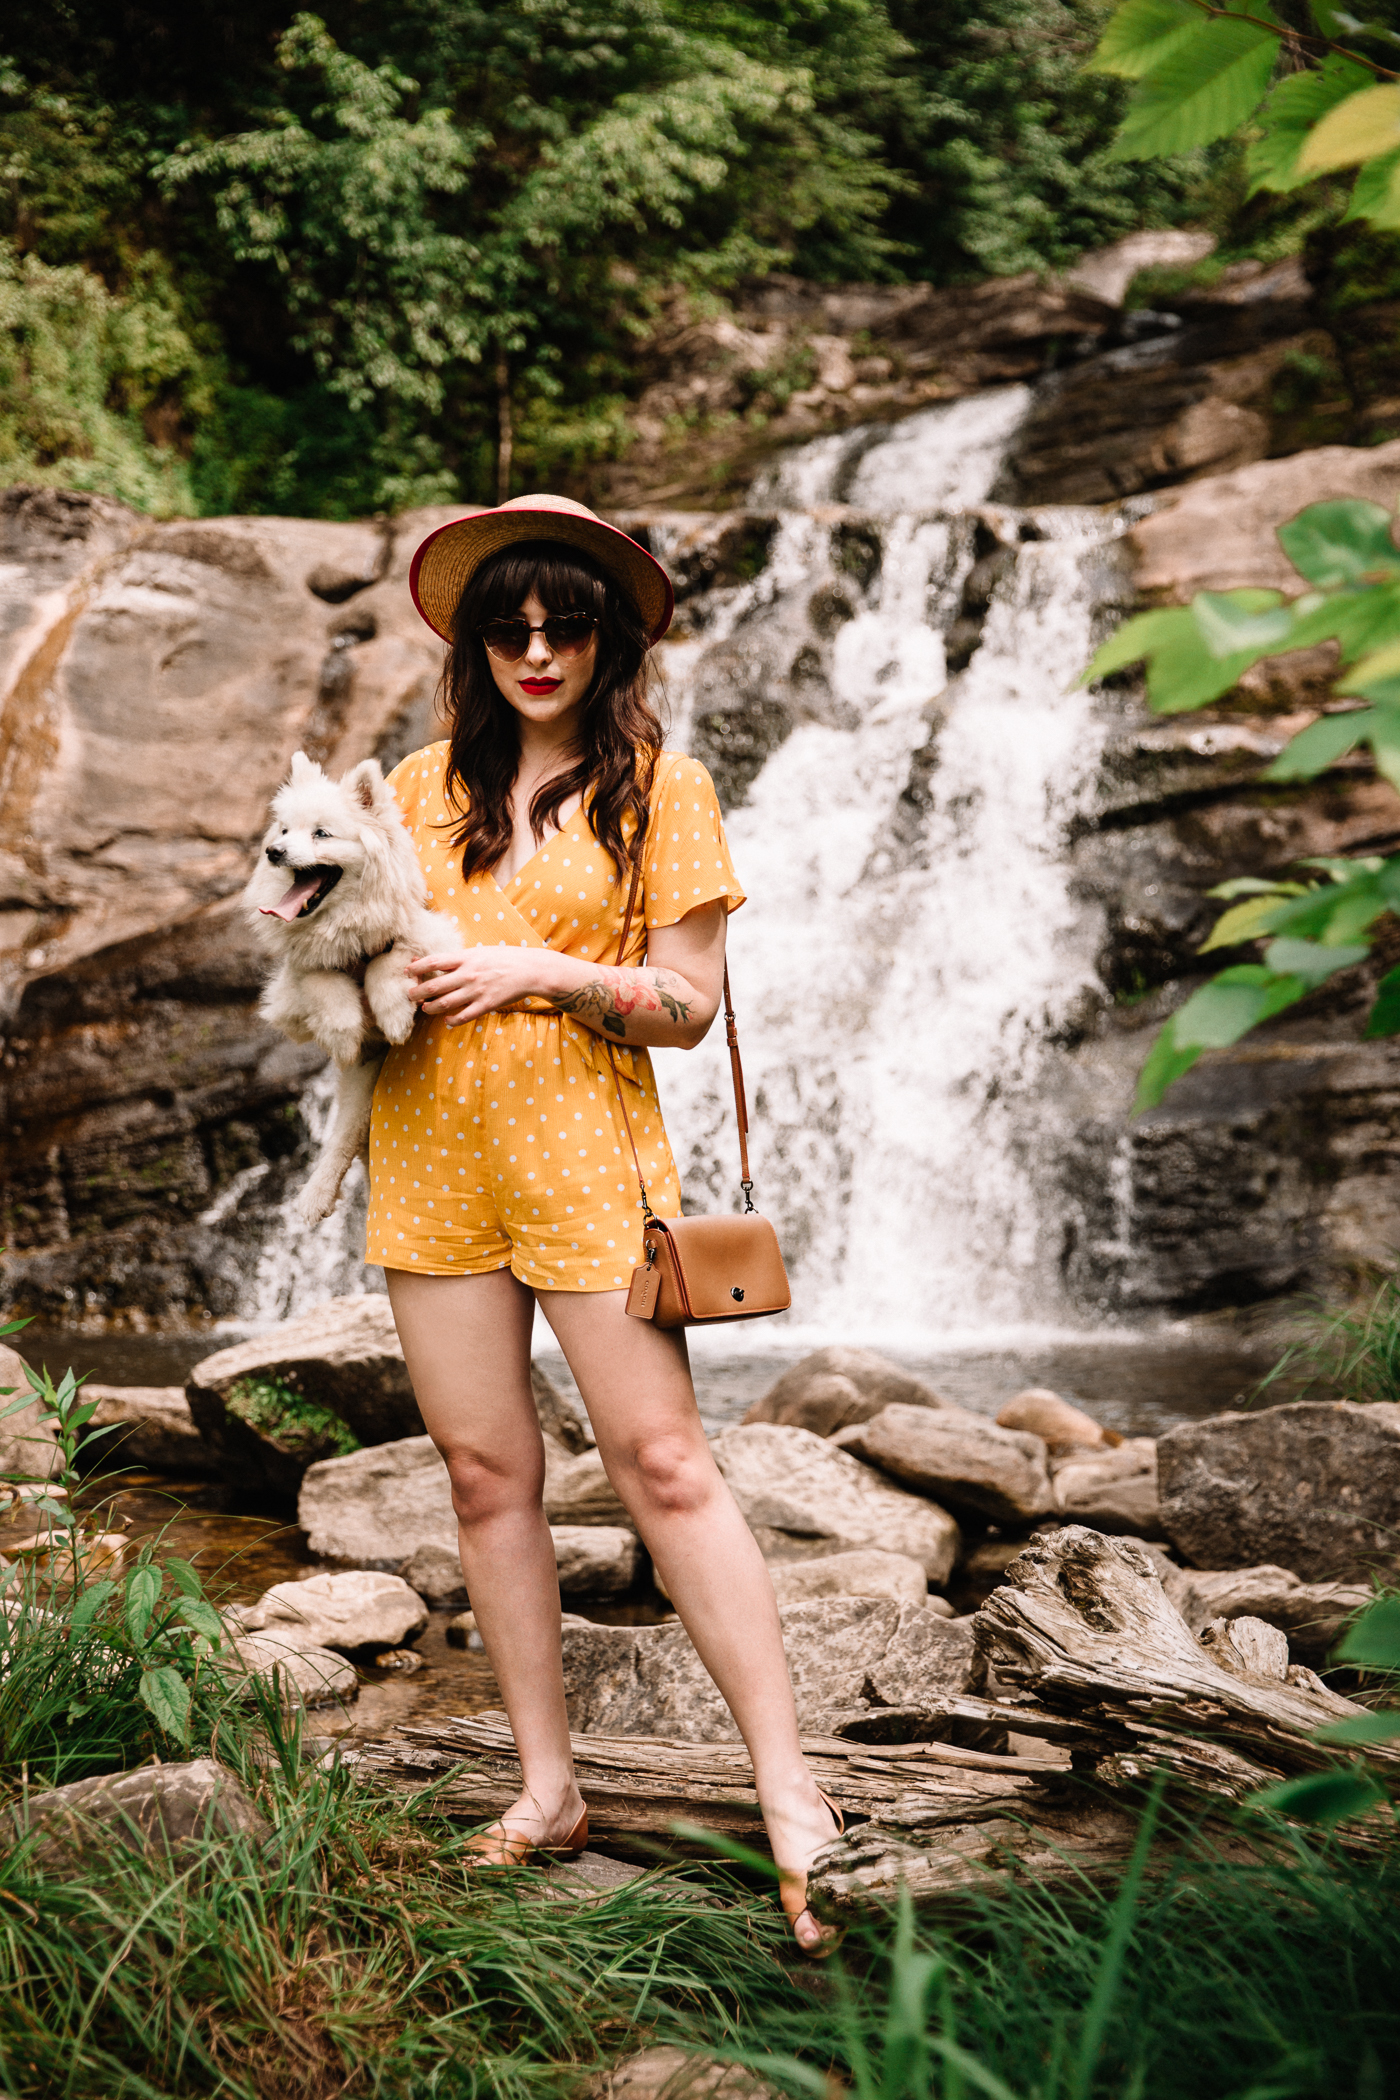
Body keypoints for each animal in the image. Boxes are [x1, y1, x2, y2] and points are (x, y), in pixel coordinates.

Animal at [246, 751, 455, 1218]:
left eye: (321, 833)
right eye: (283, 830)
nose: (273, 852)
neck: (343, 926)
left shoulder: (435, 939)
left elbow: (386, 961)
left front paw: (394, 1017)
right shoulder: (290, 990)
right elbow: (322, 981)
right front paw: (344, 1035)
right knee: (342, 1142)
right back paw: (314, 1197)